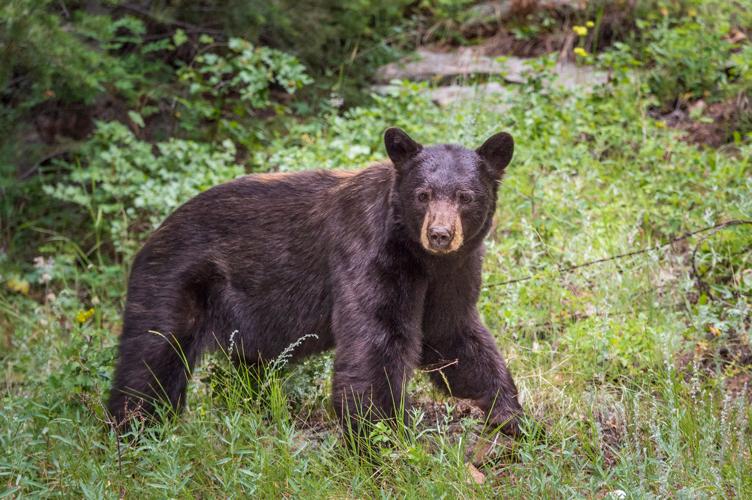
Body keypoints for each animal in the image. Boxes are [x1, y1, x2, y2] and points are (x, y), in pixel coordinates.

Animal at [108, 129, 524, 438]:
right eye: (422, 195)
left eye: (464, 196)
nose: (439, 234)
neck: (419, 256)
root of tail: (152, 234)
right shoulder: (370, 254)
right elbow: (375, 339)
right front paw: (379, 437)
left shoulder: (453, 271)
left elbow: (451, 334)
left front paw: (509, 413)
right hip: (177, 282)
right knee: (151, 358)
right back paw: (134, 429)